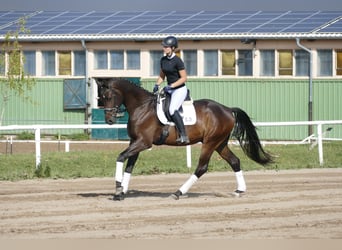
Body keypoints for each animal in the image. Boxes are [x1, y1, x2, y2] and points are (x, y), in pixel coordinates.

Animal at [96, 77, 272, 200]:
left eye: (108, 96)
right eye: (101, 98)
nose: (109, 120)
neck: (142, 107)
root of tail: (227, 109)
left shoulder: (143, 143)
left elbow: (120, 157)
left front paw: (118, 190)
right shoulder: (135, 142)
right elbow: (129, 166)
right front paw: (122, 191)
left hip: (210, 142)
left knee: (202, 168)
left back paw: (178, 192)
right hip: (220, 143)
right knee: (234, 161)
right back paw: (239, 190)